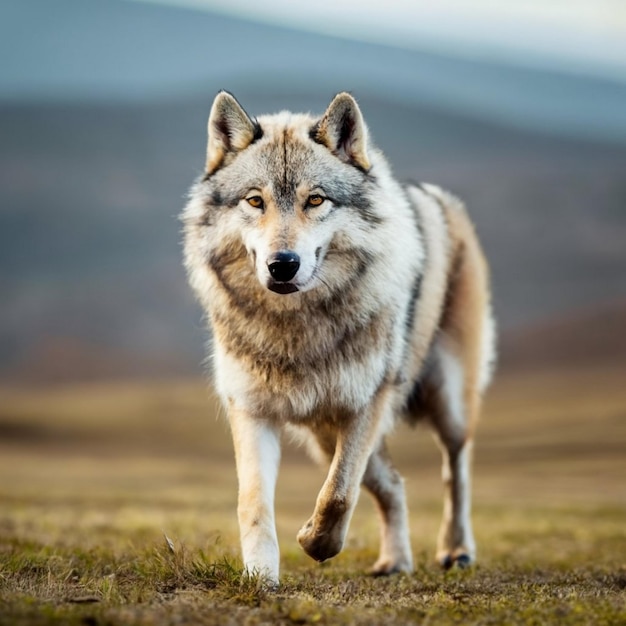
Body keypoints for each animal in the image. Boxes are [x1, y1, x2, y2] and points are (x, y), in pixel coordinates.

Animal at [179, 90, 492, 584]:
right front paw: (260, 577)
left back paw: (456, 550)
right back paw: (396, 561)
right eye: (255, 201)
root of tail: (435, 196)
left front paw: (315, 542)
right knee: (394, 484)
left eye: (315, 200)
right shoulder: (250, 409)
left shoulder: (366, 403)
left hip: (448, 404)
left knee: (455, 472)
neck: (295, 332)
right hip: (323, 435)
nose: (282, 264)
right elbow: (253, 503)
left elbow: (339, 494)